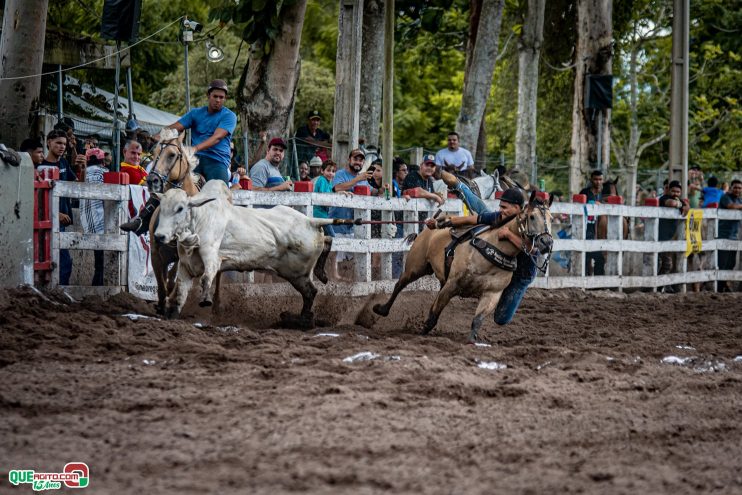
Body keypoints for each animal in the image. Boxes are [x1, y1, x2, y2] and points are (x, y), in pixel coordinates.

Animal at [155, 180, 336, 328]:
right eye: (161, 208)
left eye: (180, 208)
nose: (159, 236)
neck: (199, 219)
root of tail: (310, 221)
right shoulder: (186, 267)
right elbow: (180, 294)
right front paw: (172, 316)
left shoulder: (211, 255)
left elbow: (206, 277)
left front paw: (206, 299)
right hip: (295, 273)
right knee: (312, 289)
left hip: (297, 273)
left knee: (311, 291)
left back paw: (304, 318)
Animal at [378, 192, 552, 342]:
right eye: (532, 216)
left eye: (551, 219)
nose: (547, 242)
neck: (492, 251)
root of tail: (427, 228)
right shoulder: (452, 285)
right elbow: (434, 314)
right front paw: (422, 331)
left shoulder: (492, 294)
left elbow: (477, 320)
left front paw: (473, 340)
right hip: (415, 268)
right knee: (399, 285)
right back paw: (382, 309)